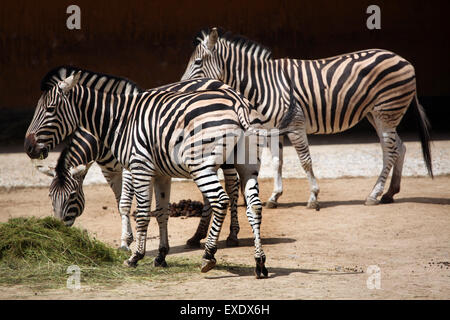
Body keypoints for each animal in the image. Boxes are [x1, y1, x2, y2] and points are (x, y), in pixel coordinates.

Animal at [24, 67, 268, 278]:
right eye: (50, 196)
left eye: (50, 110)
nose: (28, 147)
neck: (116, 122)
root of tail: (235, 98)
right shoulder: (155, 173)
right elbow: (160, 212)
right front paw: (160, 256)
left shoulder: (137, 167)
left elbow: (138, 212)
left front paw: (134, 255)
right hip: (244, 165)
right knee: (253, 206)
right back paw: (258, 262)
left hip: (202, 164)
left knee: (223, 197)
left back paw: (211, 252)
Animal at [181, 26, 434, 208]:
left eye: (197, 62)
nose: (182, 86)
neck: (263, 84)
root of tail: (404, 60)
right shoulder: (273, 130)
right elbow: (277, 162)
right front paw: (274, 197)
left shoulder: (295, 126)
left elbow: (305, 161)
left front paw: (313, 197)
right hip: (377, 113)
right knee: (398, 147)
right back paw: (390, 193)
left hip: (386, 111)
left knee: (390, 150)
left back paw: (374, 195)